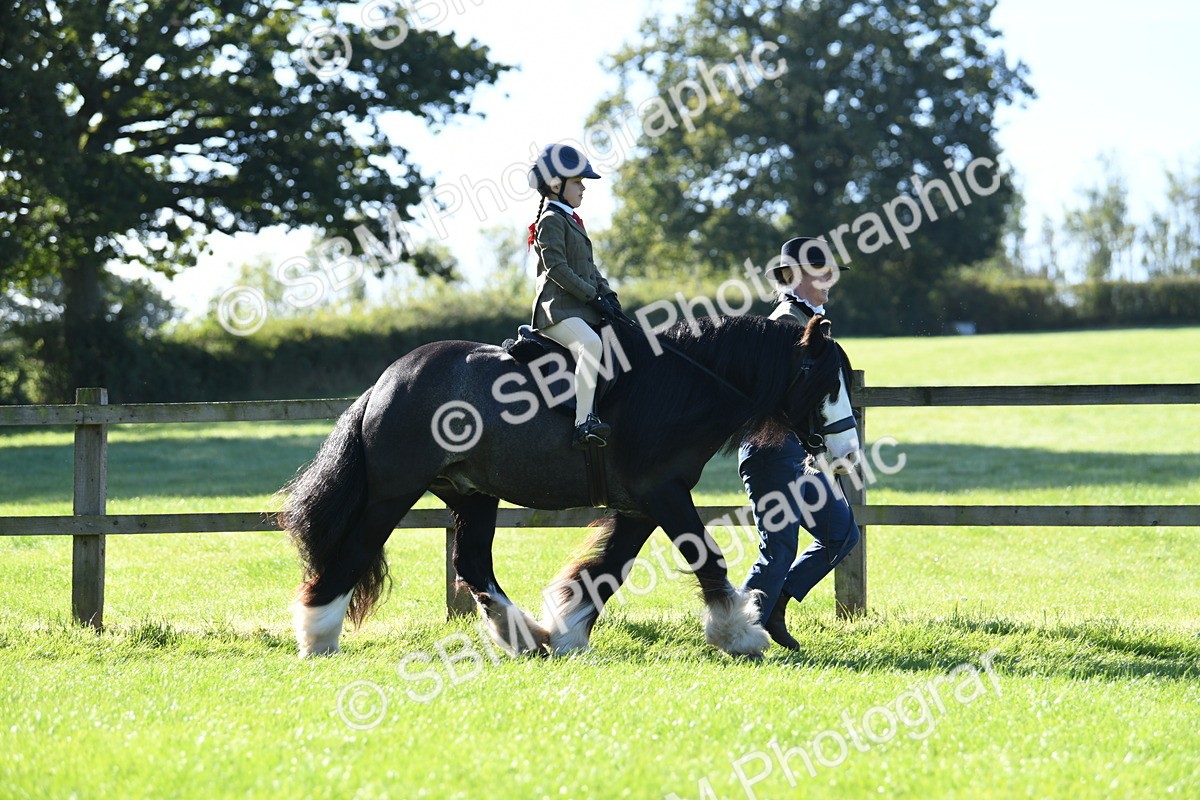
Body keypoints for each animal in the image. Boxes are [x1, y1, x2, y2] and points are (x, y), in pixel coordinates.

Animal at [279, 313, 860, 659]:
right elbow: (708, 559)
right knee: (355, 551)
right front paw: (739, 633)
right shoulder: (663, 494)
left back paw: (525, 637)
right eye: (826, 383)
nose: (849, 452)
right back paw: (317, 635)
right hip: (393, 493)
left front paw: (566, 632)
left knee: (473, 564)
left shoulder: (643, 506)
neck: (683, 387)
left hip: (472, 495)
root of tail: (387, 381)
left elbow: (607, 572)